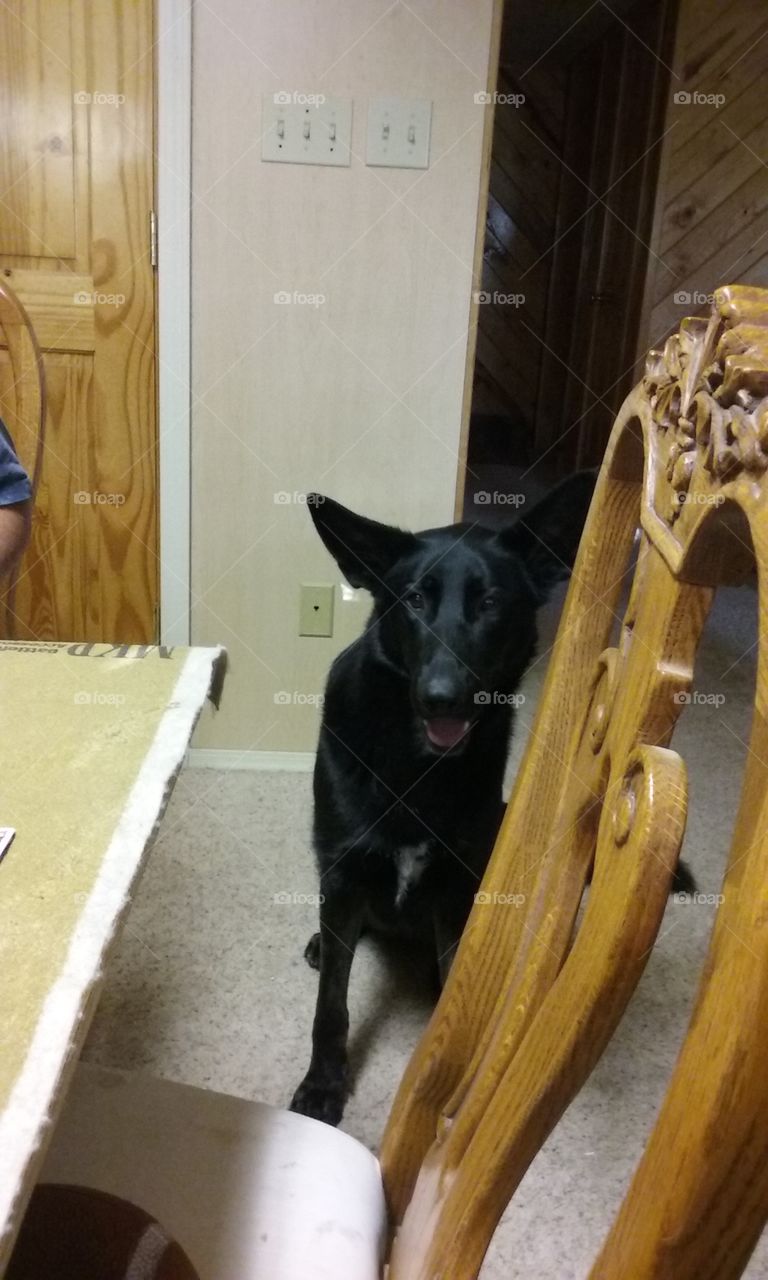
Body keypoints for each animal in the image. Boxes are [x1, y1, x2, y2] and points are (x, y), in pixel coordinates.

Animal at [288, 476, 593, 1126]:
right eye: (413, 600)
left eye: (491, 602)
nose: (442, 698)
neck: (415, 763)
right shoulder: (345, 871)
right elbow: (332, 1004)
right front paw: (324, 1085)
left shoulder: (457, 887)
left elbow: (455, 989)